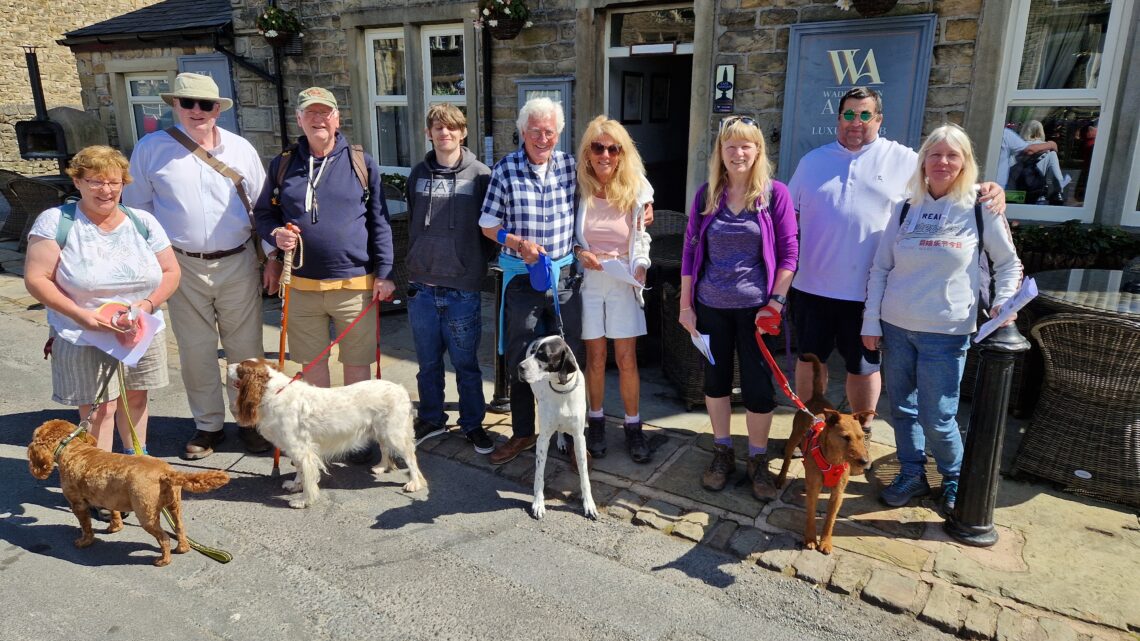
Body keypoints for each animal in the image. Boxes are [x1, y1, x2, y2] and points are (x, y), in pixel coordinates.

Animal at [519, 335, 601, 520]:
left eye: (544, 355)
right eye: (534, 351)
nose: (520, 367)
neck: (562, 390)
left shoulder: (579, 438)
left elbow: (584, 476)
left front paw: (589, 504)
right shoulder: (542, 439)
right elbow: (539, 475)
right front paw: (538, 504)